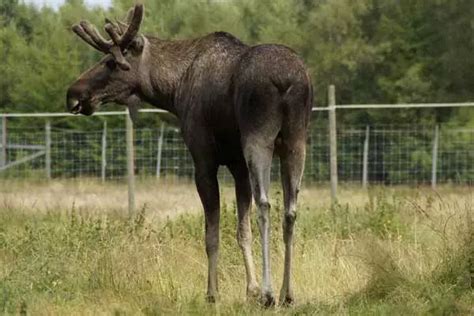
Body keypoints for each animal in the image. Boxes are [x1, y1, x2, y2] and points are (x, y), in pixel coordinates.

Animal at [65, 3, 312, 308]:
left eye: (110, 62)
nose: (74, 94)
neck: (172, 89)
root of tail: (288, 81)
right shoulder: (237, 165)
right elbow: (242, 231)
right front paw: (250, 289)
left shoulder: (203, 158)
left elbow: (212, 233)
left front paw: (214, 292)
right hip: (296, 141)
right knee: (290, 210)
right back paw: (287, 293)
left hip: (259, 138)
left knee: (265, 204)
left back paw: (270, 293)